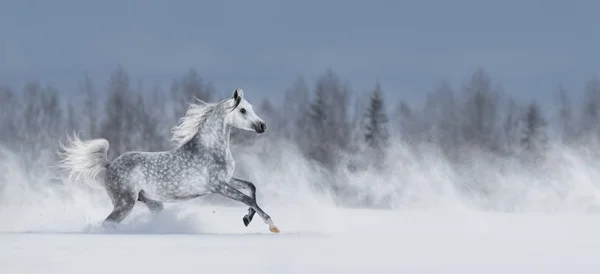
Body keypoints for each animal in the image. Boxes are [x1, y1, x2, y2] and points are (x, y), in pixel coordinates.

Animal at [57, 88, 280, 233]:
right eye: (242, 110)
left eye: (250, 107)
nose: (263, 126)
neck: (210, 148)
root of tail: (109, 164)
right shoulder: (218, 186)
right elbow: (247, 198)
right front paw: (272, 225)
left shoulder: (227, 180)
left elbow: (251, 188)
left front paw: (247, 219)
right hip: (125, 203)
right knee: (107, 222)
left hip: (151, 202)